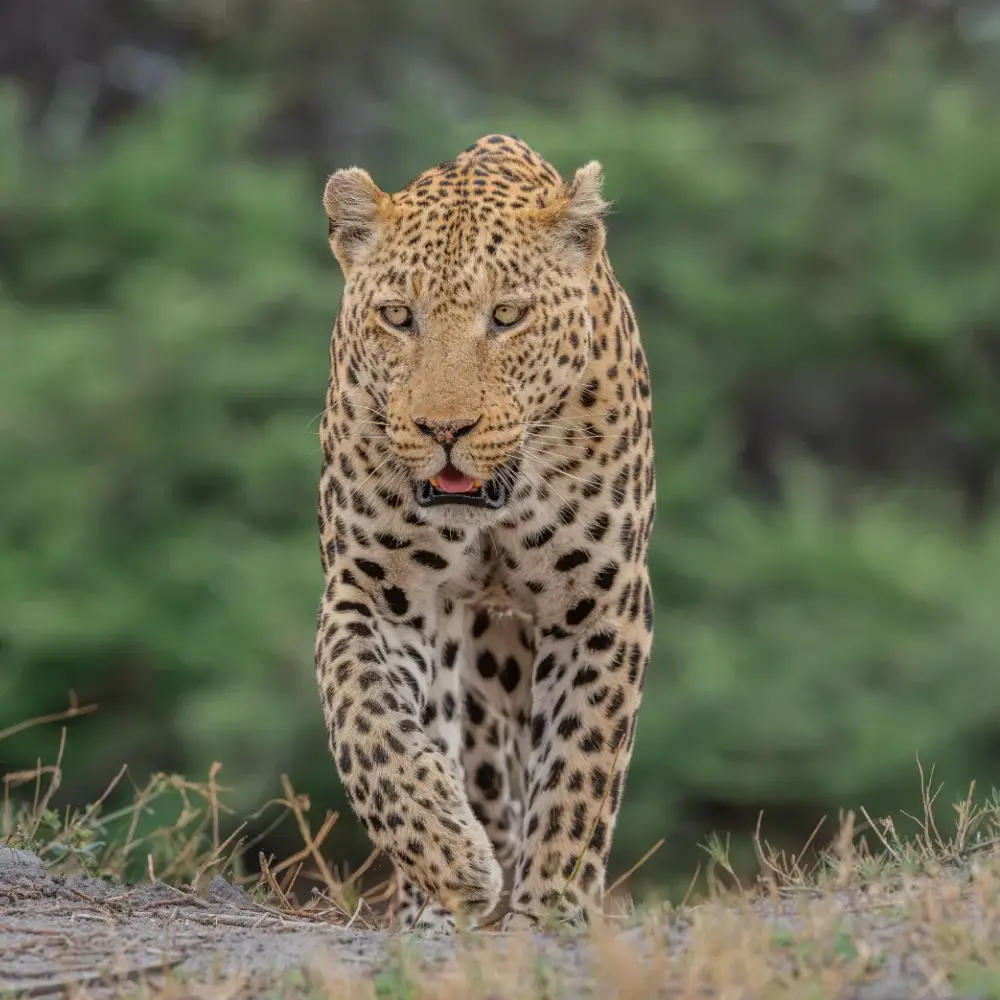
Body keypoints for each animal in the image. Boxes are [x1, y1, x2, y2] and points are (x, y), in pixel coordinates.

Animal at [314, 134, 656, 933]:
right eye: (397, 315)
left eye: (506, 315)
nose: (446, 429)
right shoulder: (375, 591)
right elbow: (366, 724)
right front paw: (451, 860)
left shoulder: (601, 605)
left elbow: (579, 769)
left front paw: (553, 911)